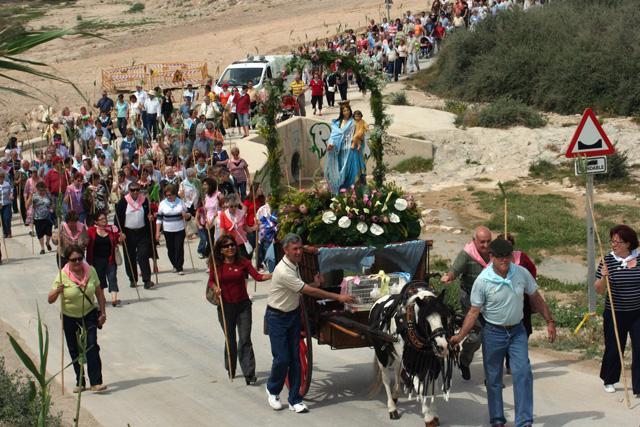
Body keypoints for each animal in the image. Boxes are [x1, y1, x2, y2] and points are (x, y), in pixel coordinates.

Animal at [368, 282, 458, 426]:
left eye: (445, 317)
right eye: (425, 320)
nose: (442, 347)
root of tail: (378, 301)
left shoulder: (433, 364)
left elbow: (433, 389)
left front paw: (434, 413)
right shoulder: (411, 364)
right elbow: (419, 388)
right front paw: (428, 417)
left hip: (397, 355)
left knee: (397, 372)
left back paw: (395, 396)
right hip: (381, 354)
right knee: (386, 379)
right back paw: (392, 408)